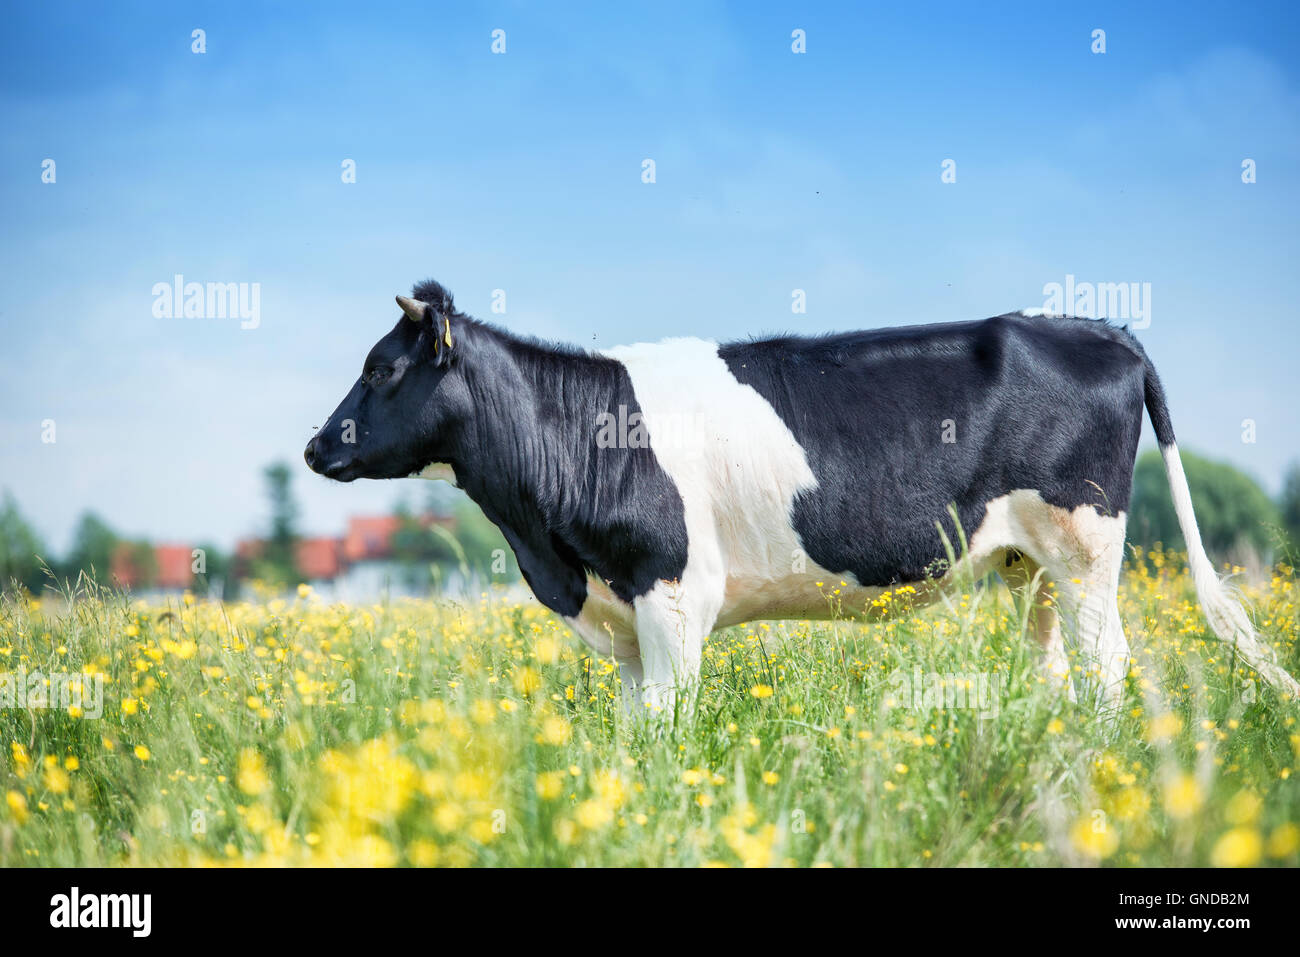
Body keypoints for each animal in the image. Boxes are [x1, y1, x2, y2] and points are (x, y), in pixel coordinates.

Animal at [304, 279, 1300, 715]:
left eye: (381, 368)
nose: (316, 446)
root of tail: (1096, 325)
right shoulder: (622, 608)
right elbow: (632, 729)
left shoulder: (673, 593)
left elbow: (668, 728)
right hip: (1033, 562)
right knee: (1058, 667)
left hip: (1087, 545)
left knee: (1108, 668)